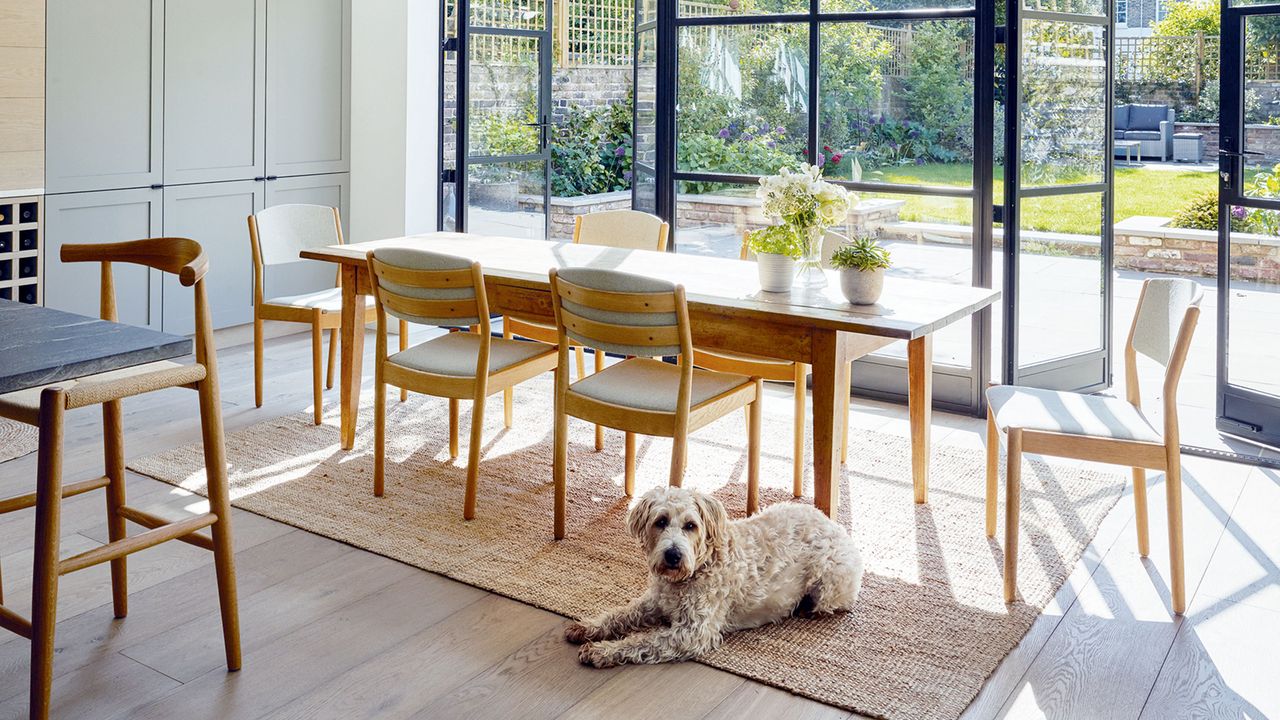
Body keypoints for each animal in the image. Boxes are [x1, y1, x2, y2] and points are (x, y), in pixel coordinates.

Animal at [565, 484, 865, 666]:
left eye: (691, 525)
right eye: (660, 521)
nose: (673, 555)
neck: (697, 569)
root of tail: (832, 523)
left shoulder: (694, 632)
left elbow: (643, 640)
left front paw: (601, 650)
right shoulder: (654, 602)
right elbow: (621, 614)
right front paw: (588, 628)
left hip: (828, 583)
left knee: (830, 604)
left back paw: (805, 608)